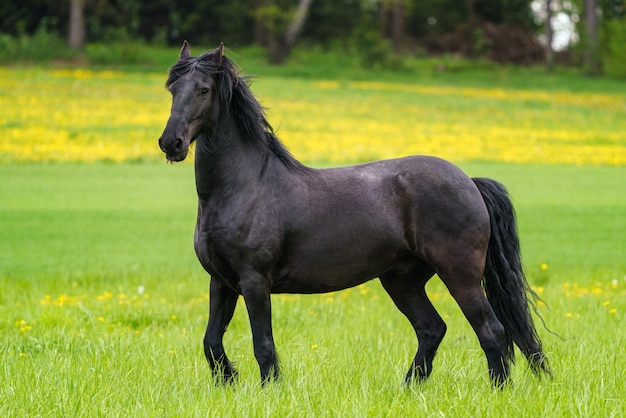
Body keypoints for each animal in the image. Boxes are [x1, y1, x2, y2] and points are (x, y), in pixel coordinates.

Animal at [158, 41, 548, 386]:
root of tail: (469, 181)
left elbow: (263, 345)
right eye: (172, 88)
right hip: (402, 280)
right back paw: (408, 388)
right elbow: (211, 341)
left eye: (204, 89)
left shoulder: (255, 282)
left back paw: (498, 389)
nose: (171, 143)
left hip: (460, 275)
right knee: (432, 329)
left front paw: (269, 389)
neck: (244, 187)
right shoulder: (222, 282)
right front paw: (228, 380)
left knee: (491, 330)